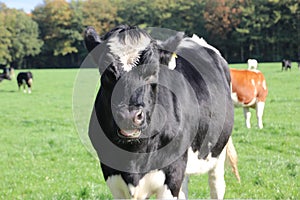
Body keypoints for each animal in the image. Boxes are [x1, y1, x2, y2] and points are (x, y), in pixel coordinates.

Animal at [85, 24, 238, 198]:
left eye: (153, 72)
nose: (129, 116)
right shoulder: (112, 175)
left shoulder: (172, 173)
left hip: (218, 151)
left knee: (216, 185)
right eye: (107, 73)